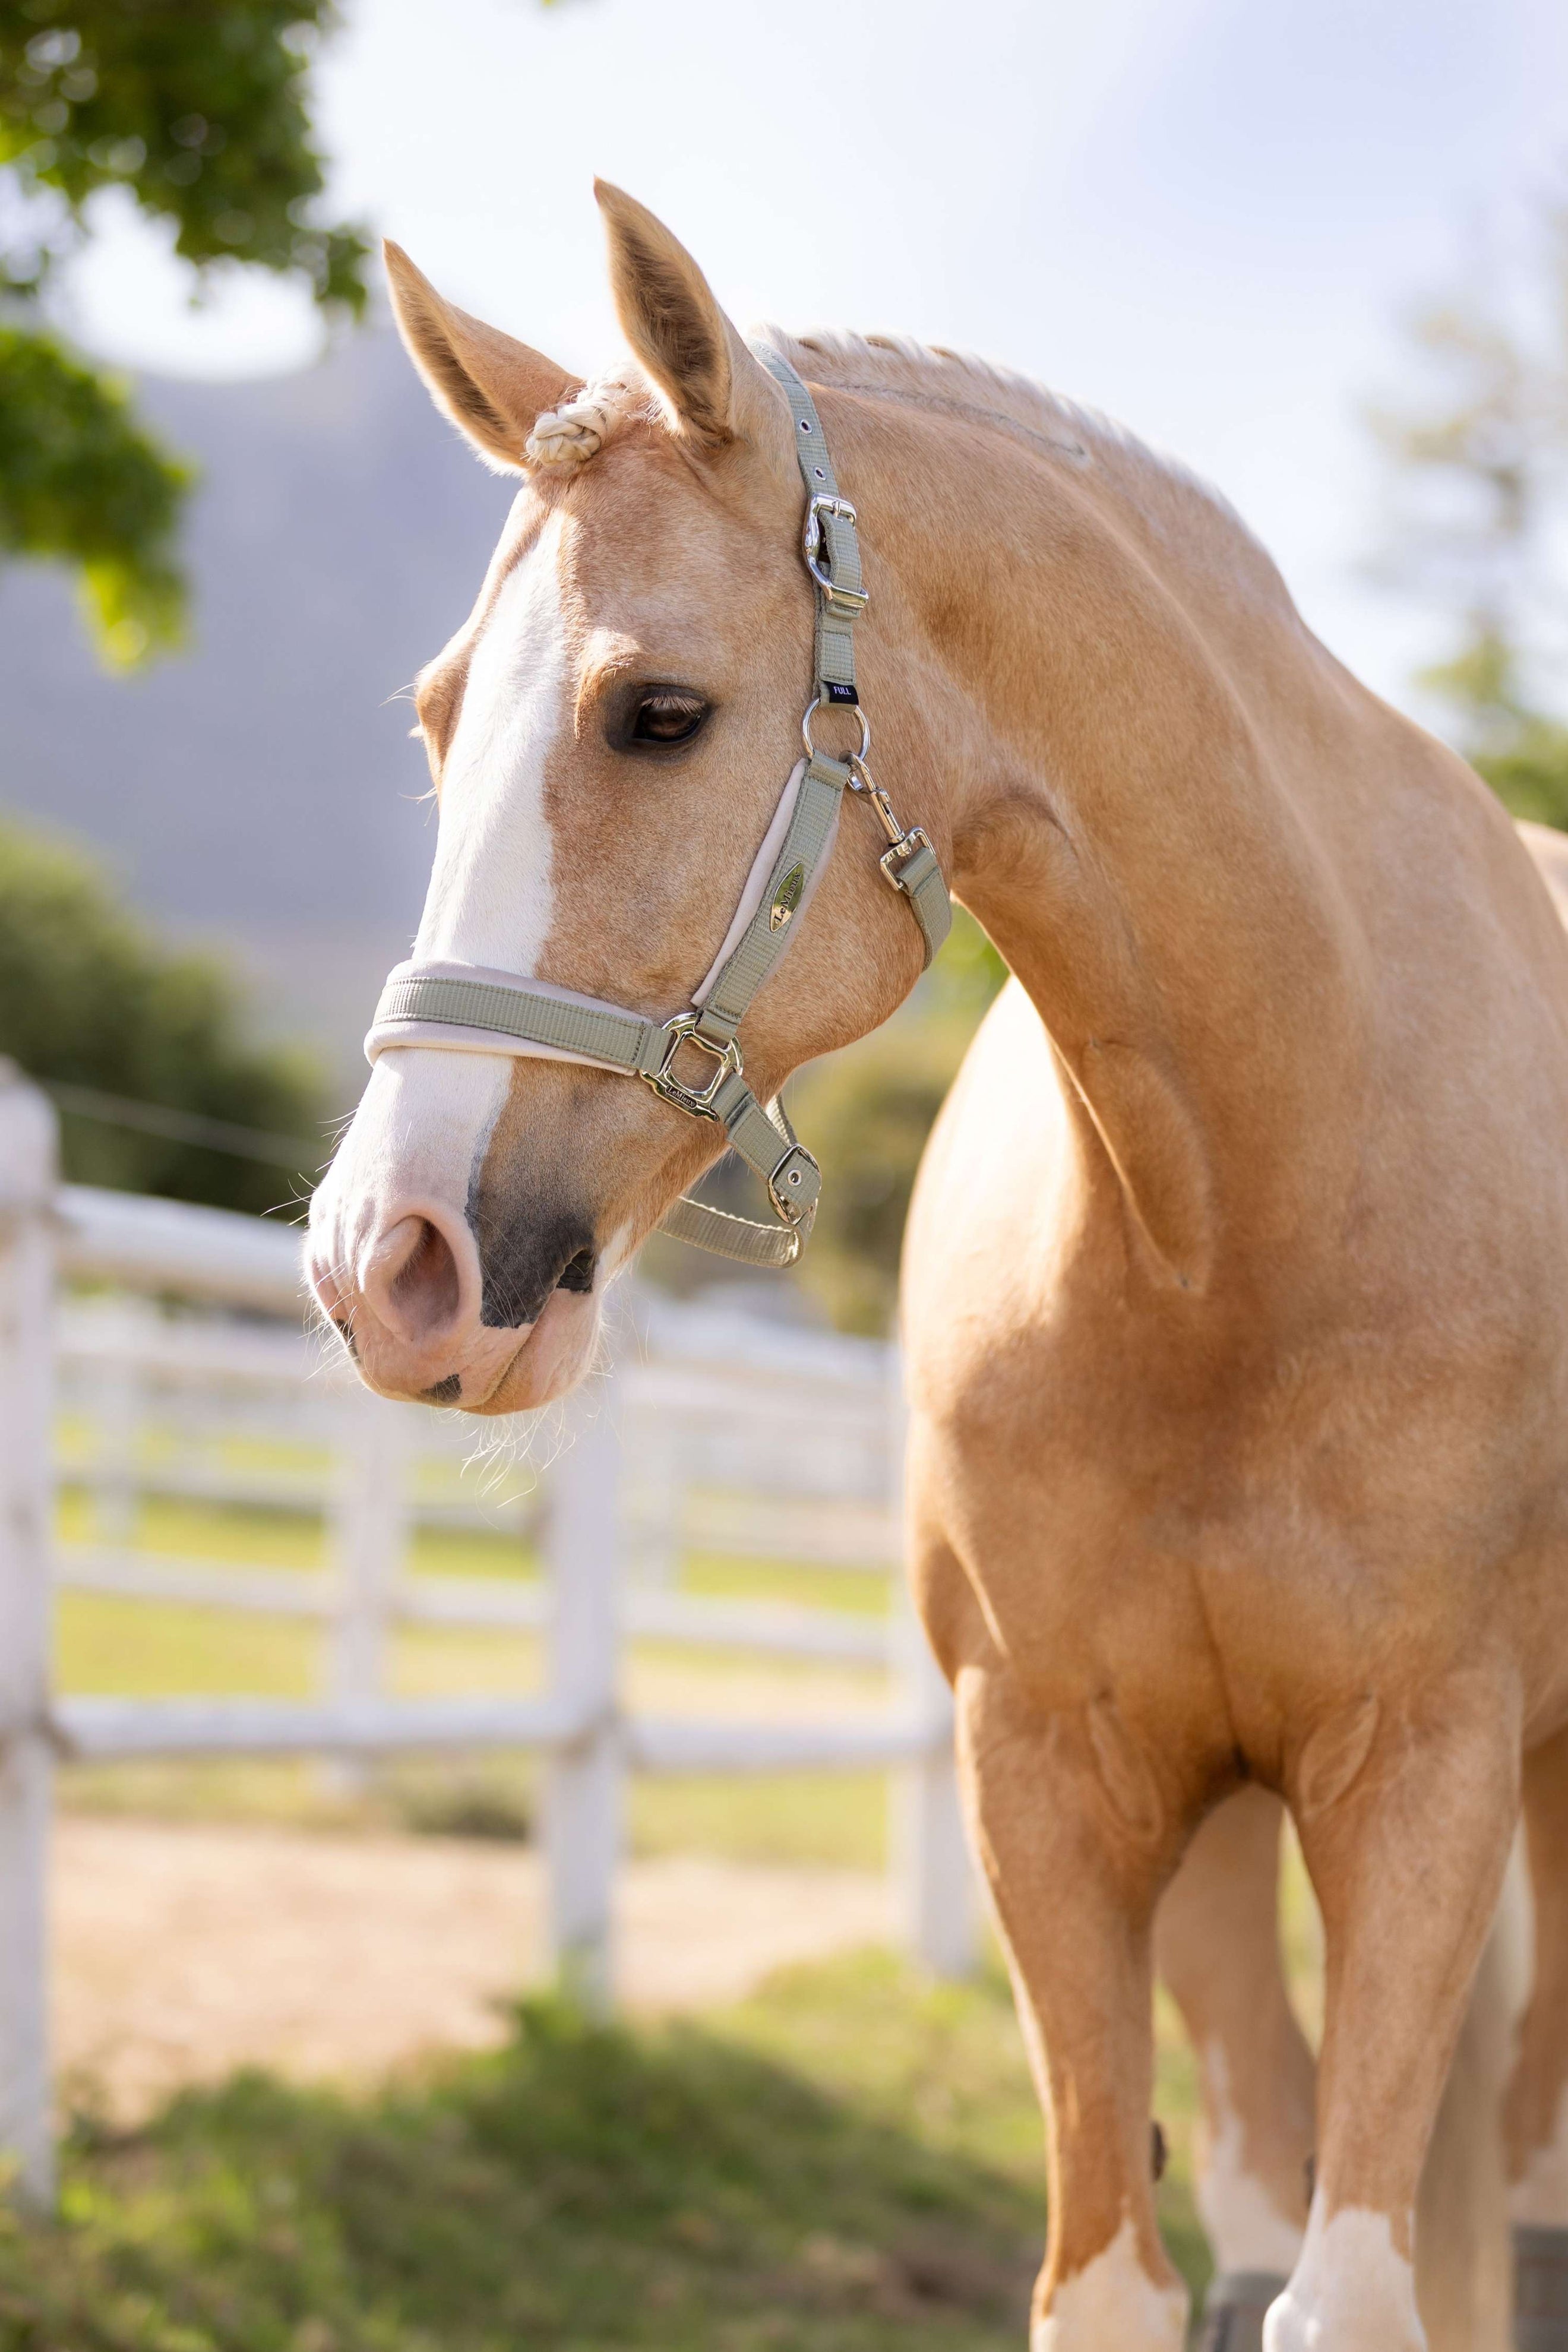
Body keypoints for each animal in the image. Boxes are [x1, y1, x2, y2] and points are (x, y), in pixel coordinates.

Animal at [305, 188, 1568, 2352]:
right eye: (440, 721)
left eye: (659, 712)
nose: (391, 1260)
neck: (1244, 1225)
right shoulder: (1050, 1779)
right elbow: (1117, 2287)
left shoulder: (1427, 1767)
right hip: (1219, 1829)